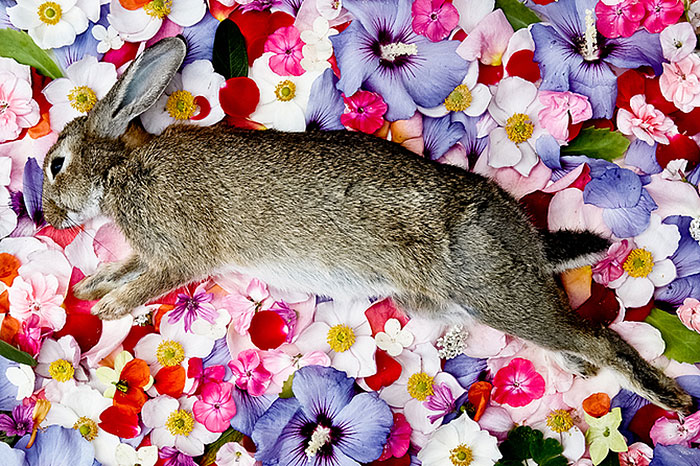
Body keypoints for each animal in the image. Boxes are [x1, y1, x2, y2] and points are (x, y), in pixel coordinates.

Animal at [41, 36, 693, 414]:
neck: (122, 169)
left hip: (493, 293)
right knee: (574, 341)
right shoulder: (147, 252)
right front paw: (92, 285)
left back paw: (673, 400)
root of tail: (526, 240)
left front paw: (107, 307)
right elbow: (124, 265)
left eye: (55, 164)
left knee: (598, 337)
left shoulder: (179, 255)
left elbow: (148, 284)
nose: (46, 219)